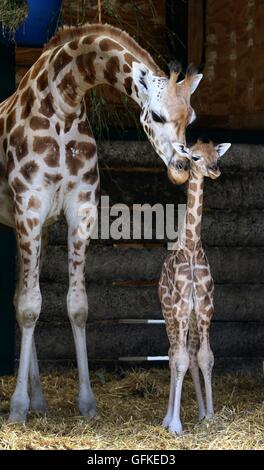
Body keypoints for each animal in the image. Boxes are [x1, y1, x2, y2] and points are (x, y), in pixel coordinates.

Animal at [0, 23, 202, 422]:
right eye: (157, 116)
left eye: (190, 119)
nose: (180, 169)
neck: (62, 106)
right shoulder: (29, 206)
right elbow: (30, 306)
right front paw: (17, 408)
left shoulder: (78, 211)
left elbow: (75, 306)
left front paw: (86, 402)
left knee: (19, 297)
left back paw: (39, 400)